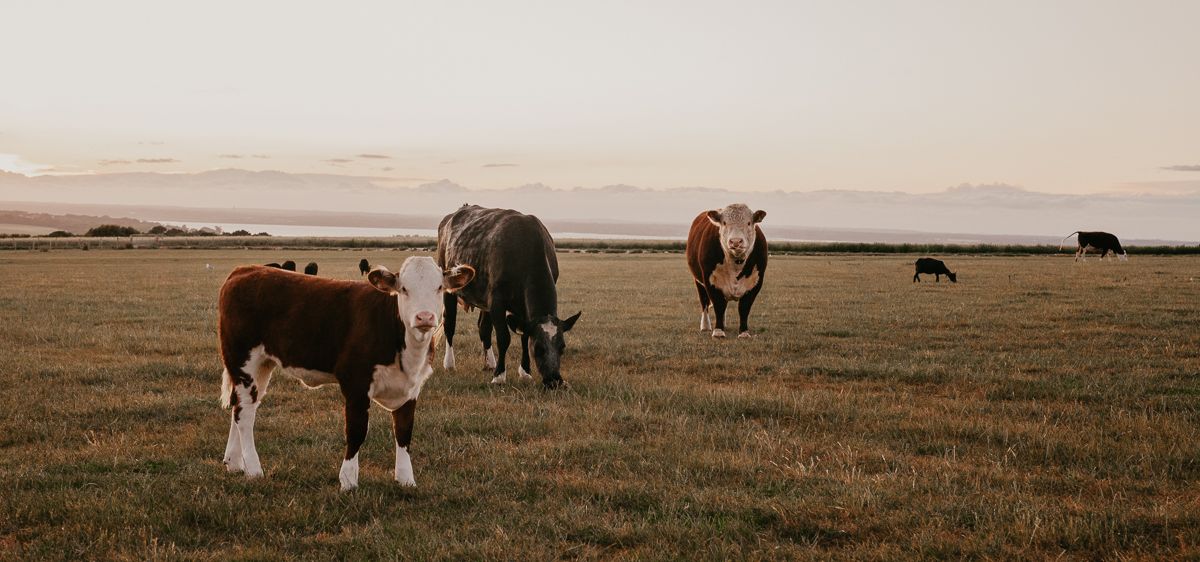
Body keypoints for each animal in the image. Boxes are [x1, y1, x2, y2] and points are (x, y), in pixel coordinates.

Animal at [217, 258, 475, 490]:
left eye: (439, 287)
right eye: (404, 289)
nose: (425, 317)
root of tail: (244, 270)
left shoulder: (412, 388)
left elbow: (403, 432)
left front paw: (405, 479)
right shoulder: (356, 384)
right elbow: (357, 431)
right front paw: (348, 480)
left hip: (261, 365)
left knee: (240, 407)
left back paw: (234, 462)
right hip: (243, 360)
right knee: (245, 414)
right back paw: (253, 469)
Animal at [437, 204, 581, 388]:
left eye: (562, 347)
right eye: (538, 348)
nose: (554, 381)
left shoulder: (521, 309)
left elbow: (524, 336)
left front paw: (525, 372)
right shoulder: (497, 301)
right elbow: (503, 338)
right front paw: (499, 376)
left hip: (484, 299)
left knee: (483, 328)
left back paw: (490, 363)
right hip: (449, 286)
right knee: (450, 324)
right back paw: (449, 363)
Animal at [686, 204, 768, 339]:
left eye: (749, 223)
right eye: (724, 223)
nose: (735, 241)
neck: (736, 264)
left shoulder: (756, 283)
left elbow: (744, 308)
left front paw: (744, 332)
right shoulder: (710, 281)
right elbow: (719, 305)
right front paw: (718, 331)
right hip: (698, 281)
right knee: (704, 303)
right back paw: (705, 326)